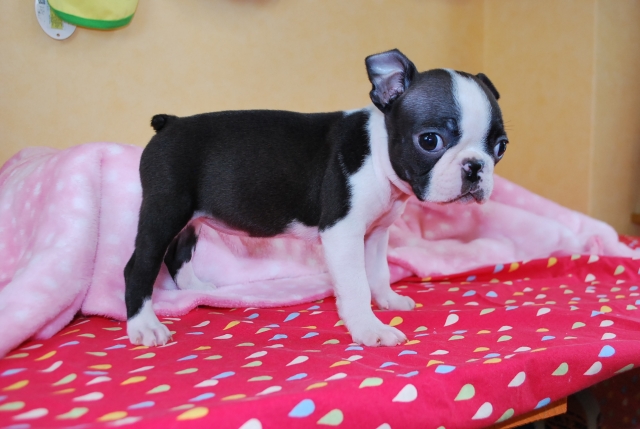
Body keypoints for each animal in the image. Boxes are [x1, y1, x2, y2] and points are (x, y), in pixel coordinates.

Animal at [124, 49, 508, 347]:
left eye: (501, 146)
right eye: (430, 141)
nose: (475, 167)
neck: (377, 153)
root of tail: (169, 123)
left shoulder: (376, 233)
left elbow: (378, 271)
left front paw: (387, 300)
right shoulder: (343, 233)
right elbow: (356, 284)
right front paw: (370, 329)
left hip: (193, 218)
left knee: (178, 254)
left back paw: (197, 290)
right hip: (165, 209)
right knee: (139, 266)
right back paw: (145, 326)